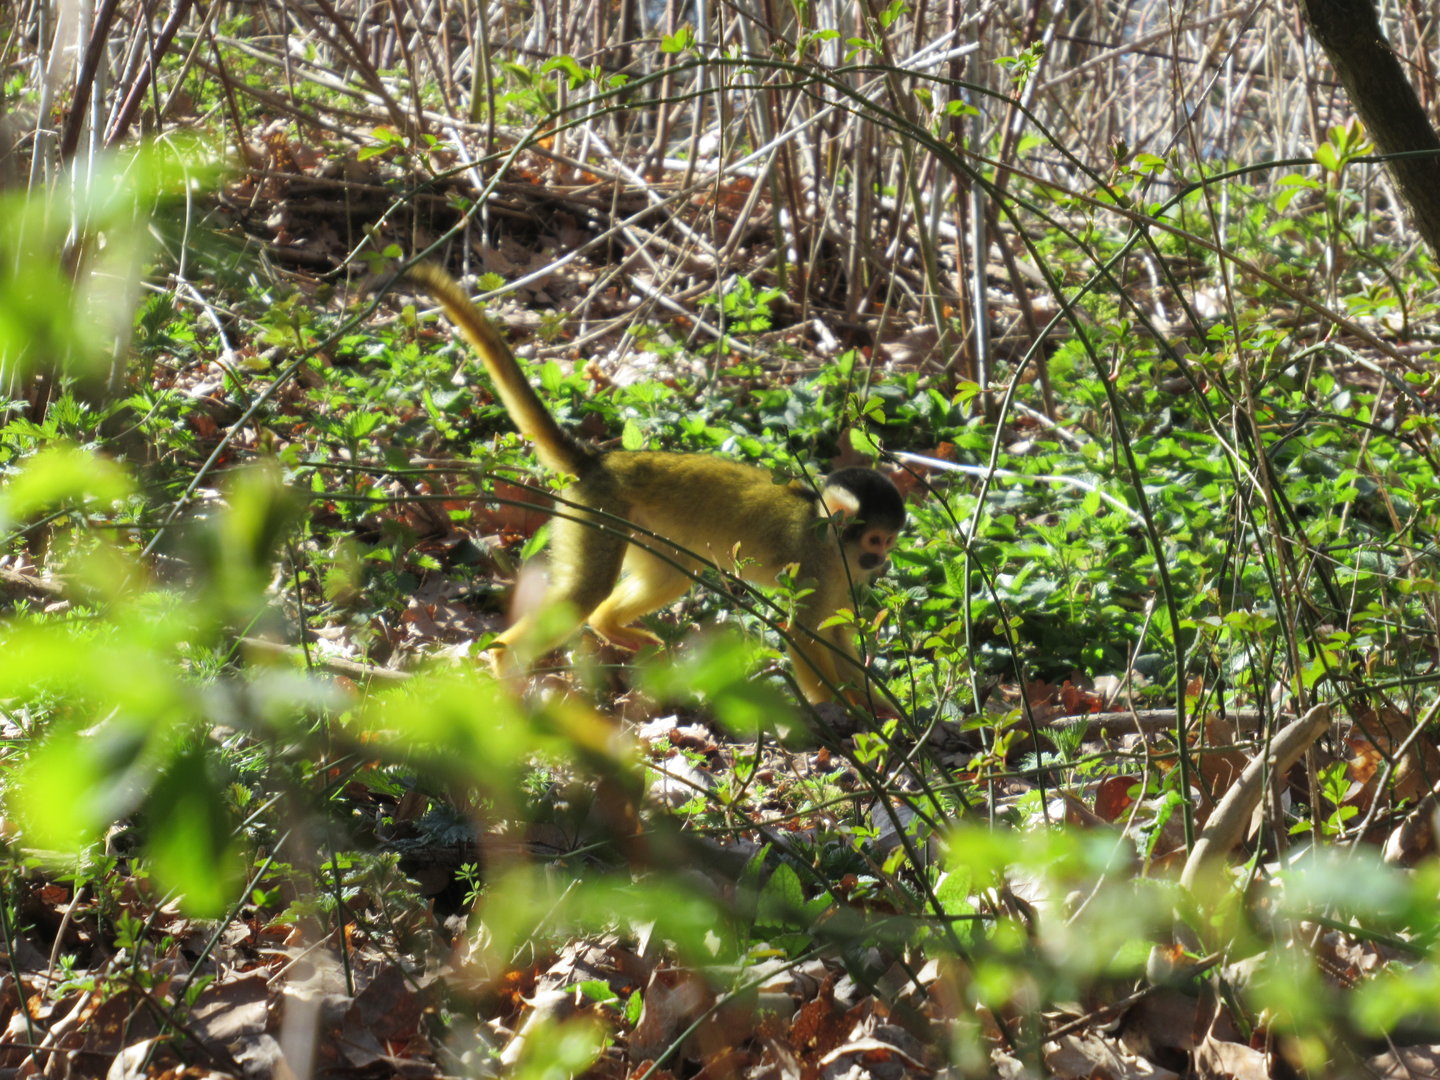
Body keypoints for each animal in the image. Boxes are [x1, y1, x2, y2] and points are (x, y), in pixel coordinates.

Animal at [401, 263, 905, 704]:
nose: (880, 559)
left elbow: (837, 632)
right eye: (876, 539)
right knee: (587, 590)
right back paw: (507, 661)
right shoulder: (815, 569)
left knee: (669, 574)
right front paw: (846, 712)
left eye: (889, 542)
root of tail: (599, 460)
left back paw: (609, 626)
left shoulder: (842, 577)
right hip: (598, 514)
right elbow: (804, 635)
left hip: (643, 527)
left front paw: (878, 706)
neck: (832, 545)